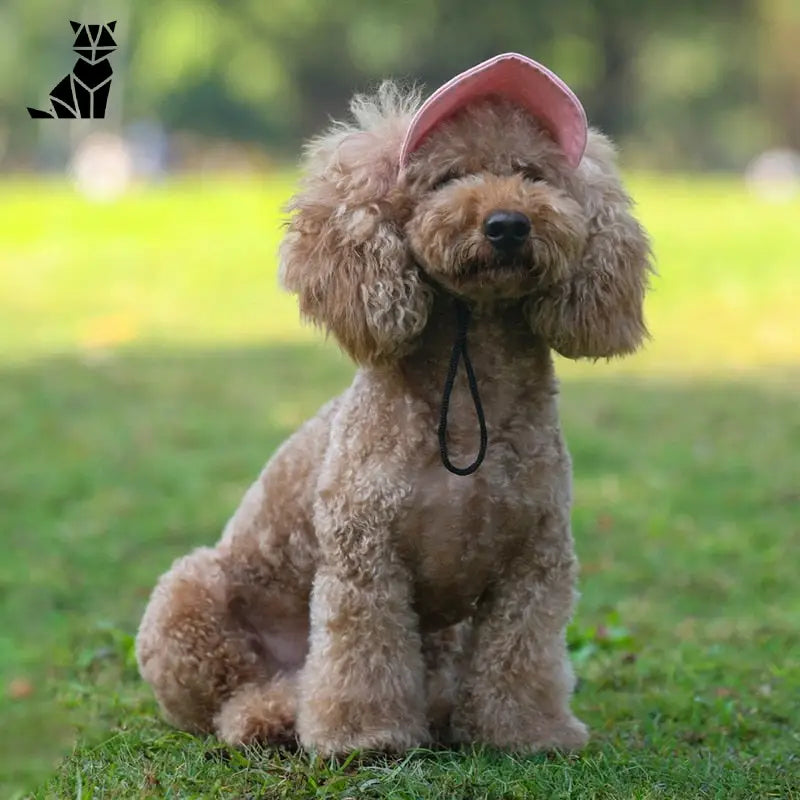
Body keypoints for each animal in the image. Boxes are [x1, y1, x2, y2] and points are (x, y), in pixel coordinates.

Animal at [136, 53, 648, 752]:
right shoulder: (365, 559)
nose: (508, 224)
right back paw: (273, 713)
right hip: (188, 600)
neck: (471, 378)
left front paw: (528, 733)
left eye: (532, 174)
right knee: (231, 699)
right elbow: (362, 654)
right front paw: (365, 737)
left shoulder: (535, 560)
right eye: (447, 177)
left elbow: (522, 655)